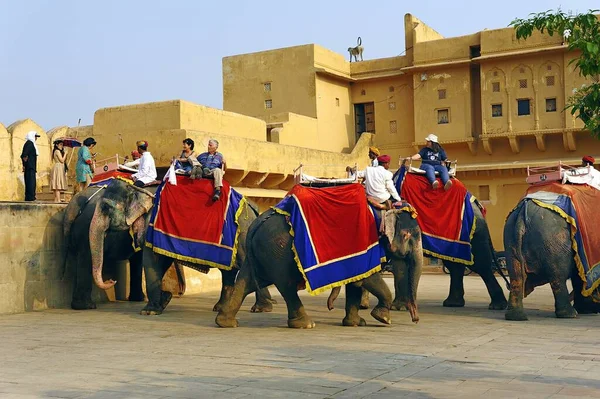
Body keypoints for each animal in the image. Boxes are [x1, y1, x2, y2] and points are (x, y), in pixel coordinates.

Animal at [216, 208, 422, 330]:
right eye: (407, 236)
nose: (415, 320)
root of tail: (256, 223)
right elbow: (367, 278)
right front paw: (384, 319)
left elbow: (356, 282)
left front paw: (356, 324)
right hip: (278, 252)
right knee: (287, 286)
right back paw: (306, 324)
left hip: (263, 253)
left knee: (246, 282)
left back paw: (226, 322)